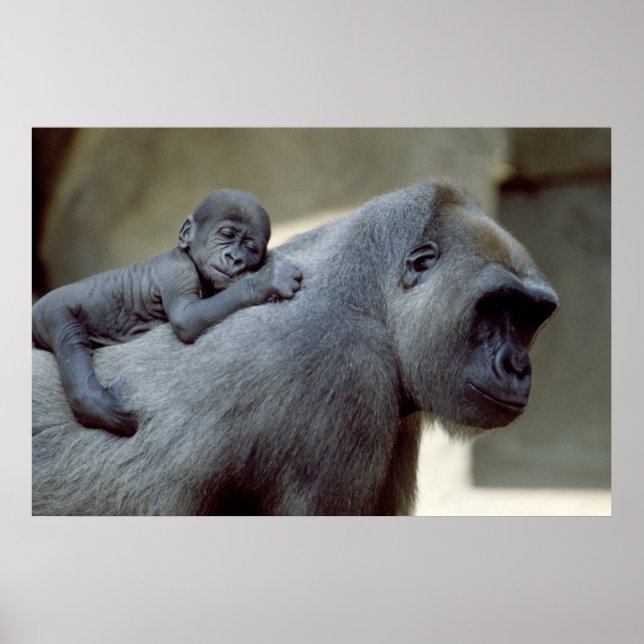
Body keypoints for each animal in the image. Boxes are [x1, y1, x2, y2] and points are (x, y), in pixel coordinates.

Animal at [32, 189, 303, 437]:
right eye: (226, 235)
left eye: (250, 247)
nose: (234, 258)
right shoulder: (178, 270)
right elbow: (187, 319)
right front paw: (268, 280)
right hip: (49, 310)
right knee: (70, 338)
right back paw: (94, 404)